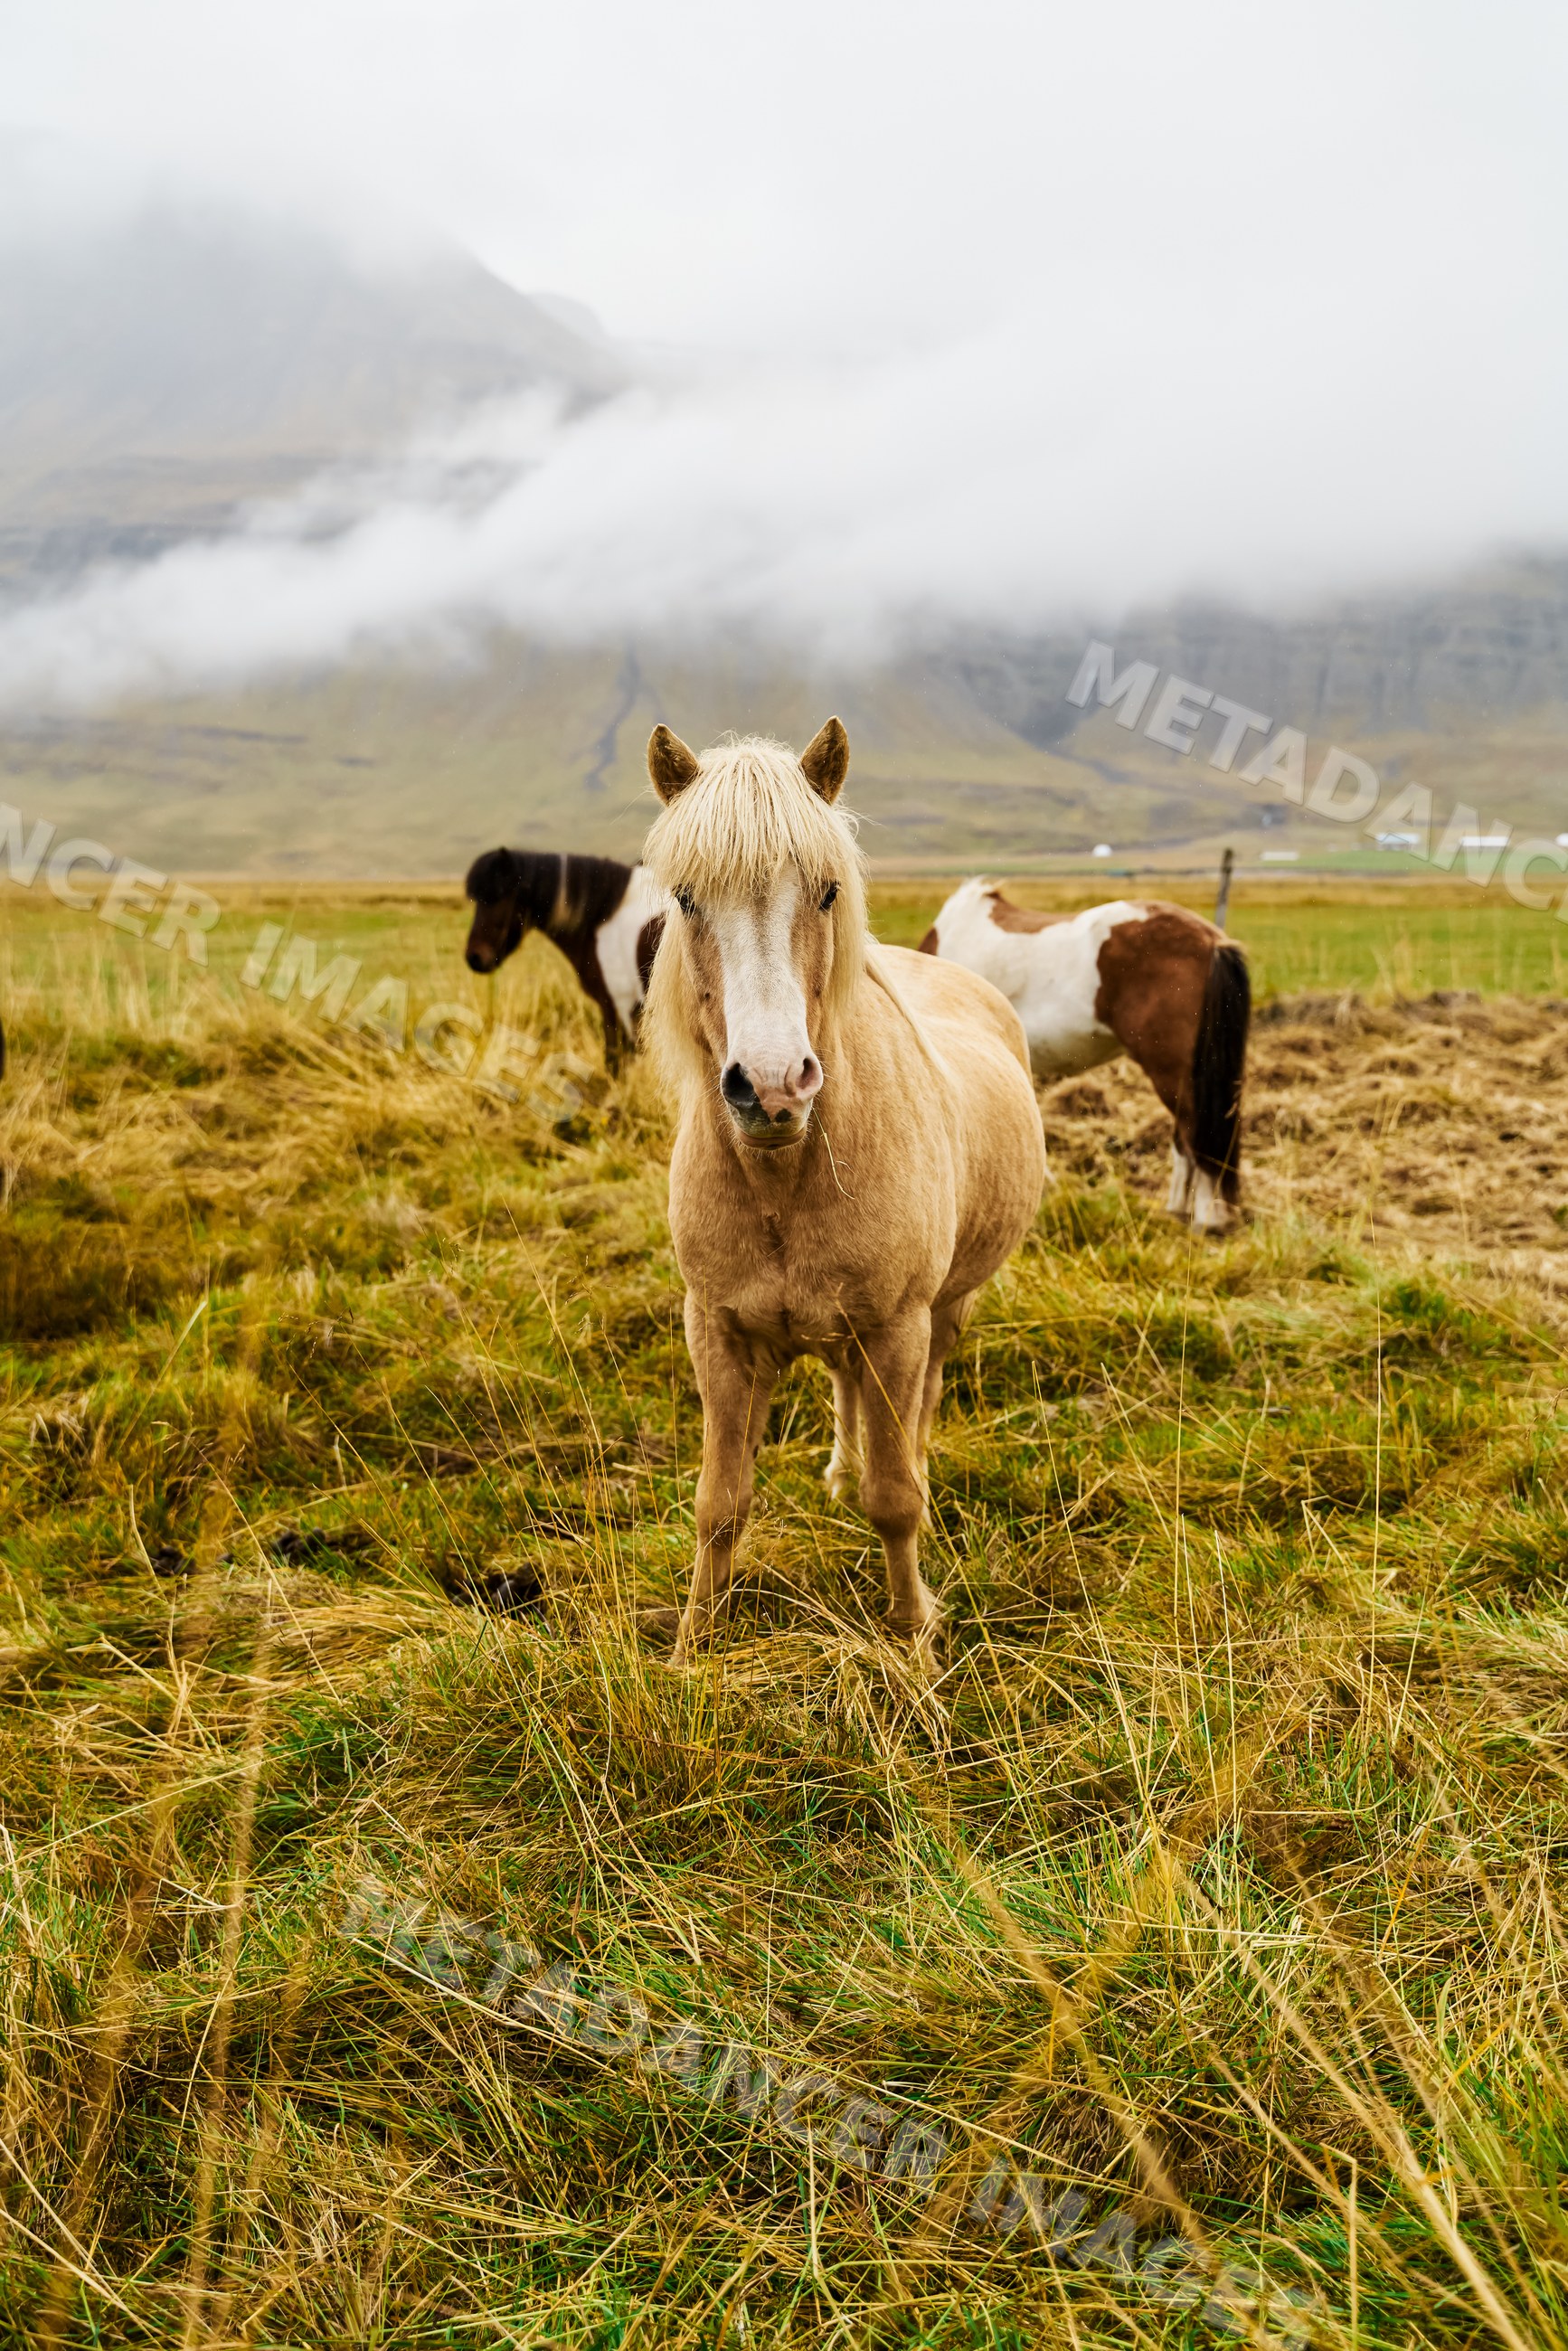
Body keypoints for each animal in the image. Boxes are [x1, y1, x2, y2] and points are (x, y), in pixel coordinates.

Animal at [642, 722, 1046, 1666]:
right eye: (685, 897)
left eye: (827, 891)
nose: (771, 1087)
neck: (784, 1181)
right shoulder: (716, 1331)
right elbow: (720, 1505)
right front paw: (690, 1647)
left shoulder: (897, 1326)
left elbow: (894, 1500)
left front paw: (913, 1638)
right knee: (844, 1392)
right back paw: (838, 1467)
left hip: (944, 1312)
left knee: (919, 1406)